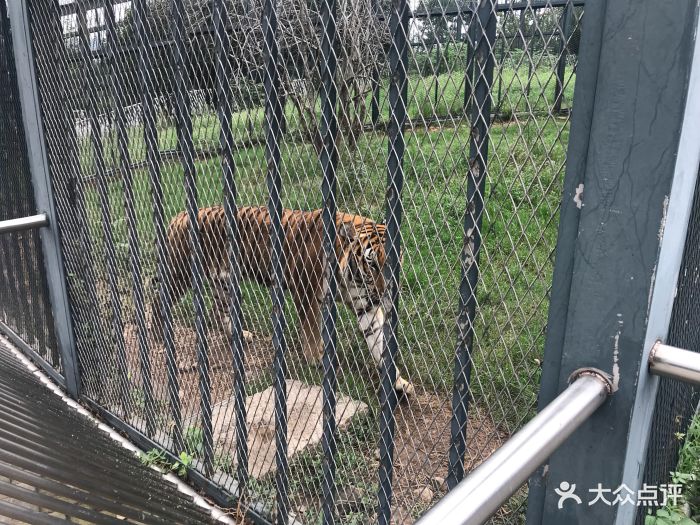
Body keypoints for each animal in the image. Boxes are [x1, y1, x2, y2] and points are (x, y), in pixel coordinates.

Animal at [150, 205, 412, 392]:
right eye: (371, 263)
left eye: (392, 263)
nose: (384, 293)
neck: (353, 276)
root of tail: (179, 216)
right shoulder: (307, 291)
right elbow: (311, 329)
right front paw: (316, 359)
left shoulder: (365, 305)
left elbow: (378, 340)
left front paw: (398, 382)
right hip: (180, 274)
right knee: (157, 298)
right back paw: (158, 335)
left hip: (223, 282)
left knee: (218, 309)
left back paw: (239, 335)